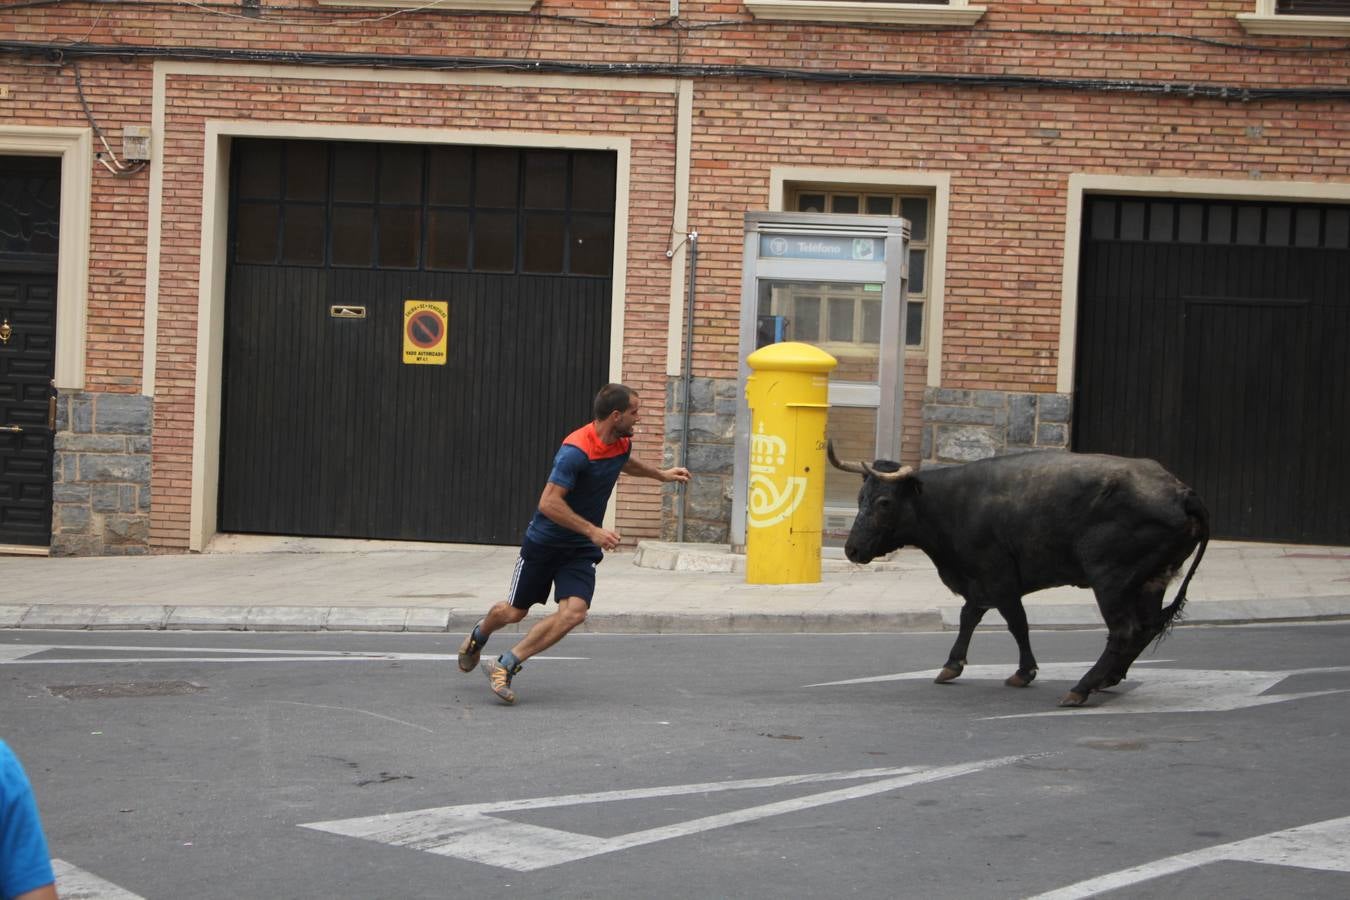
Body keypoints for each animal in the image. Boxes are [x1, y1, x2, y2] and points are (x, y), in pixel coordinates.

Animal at [826, 447, 1209, 707]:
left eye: (884, 502)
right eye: (860, 498)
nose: (852, 550)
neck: (951, 505)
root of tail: (1181, 492)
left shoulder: (999, 579)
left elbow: (1016, 623)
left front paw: (1024, 672)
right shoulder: (979, 582)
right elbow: (969, 617)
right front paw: (952, 665)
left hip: (1111, 579)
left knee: (1124, 631)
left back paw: (1082, 687)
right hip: (1152, 580)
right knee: (1145, 628)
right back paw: (1108, 678)